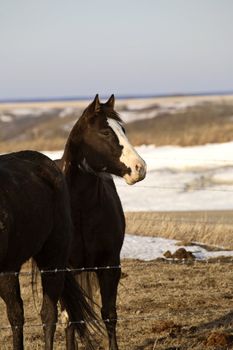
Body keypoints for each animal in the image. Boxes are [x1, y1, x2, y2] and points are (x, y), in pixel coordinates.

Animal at [56, 94, 147, 348]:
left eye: (123, 129)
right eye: (105, 132)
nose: (139, 168)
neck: (80, 209)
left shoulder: (109, 265)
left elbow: (109, 314)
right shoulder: (66, 270)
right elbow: (71, 319)